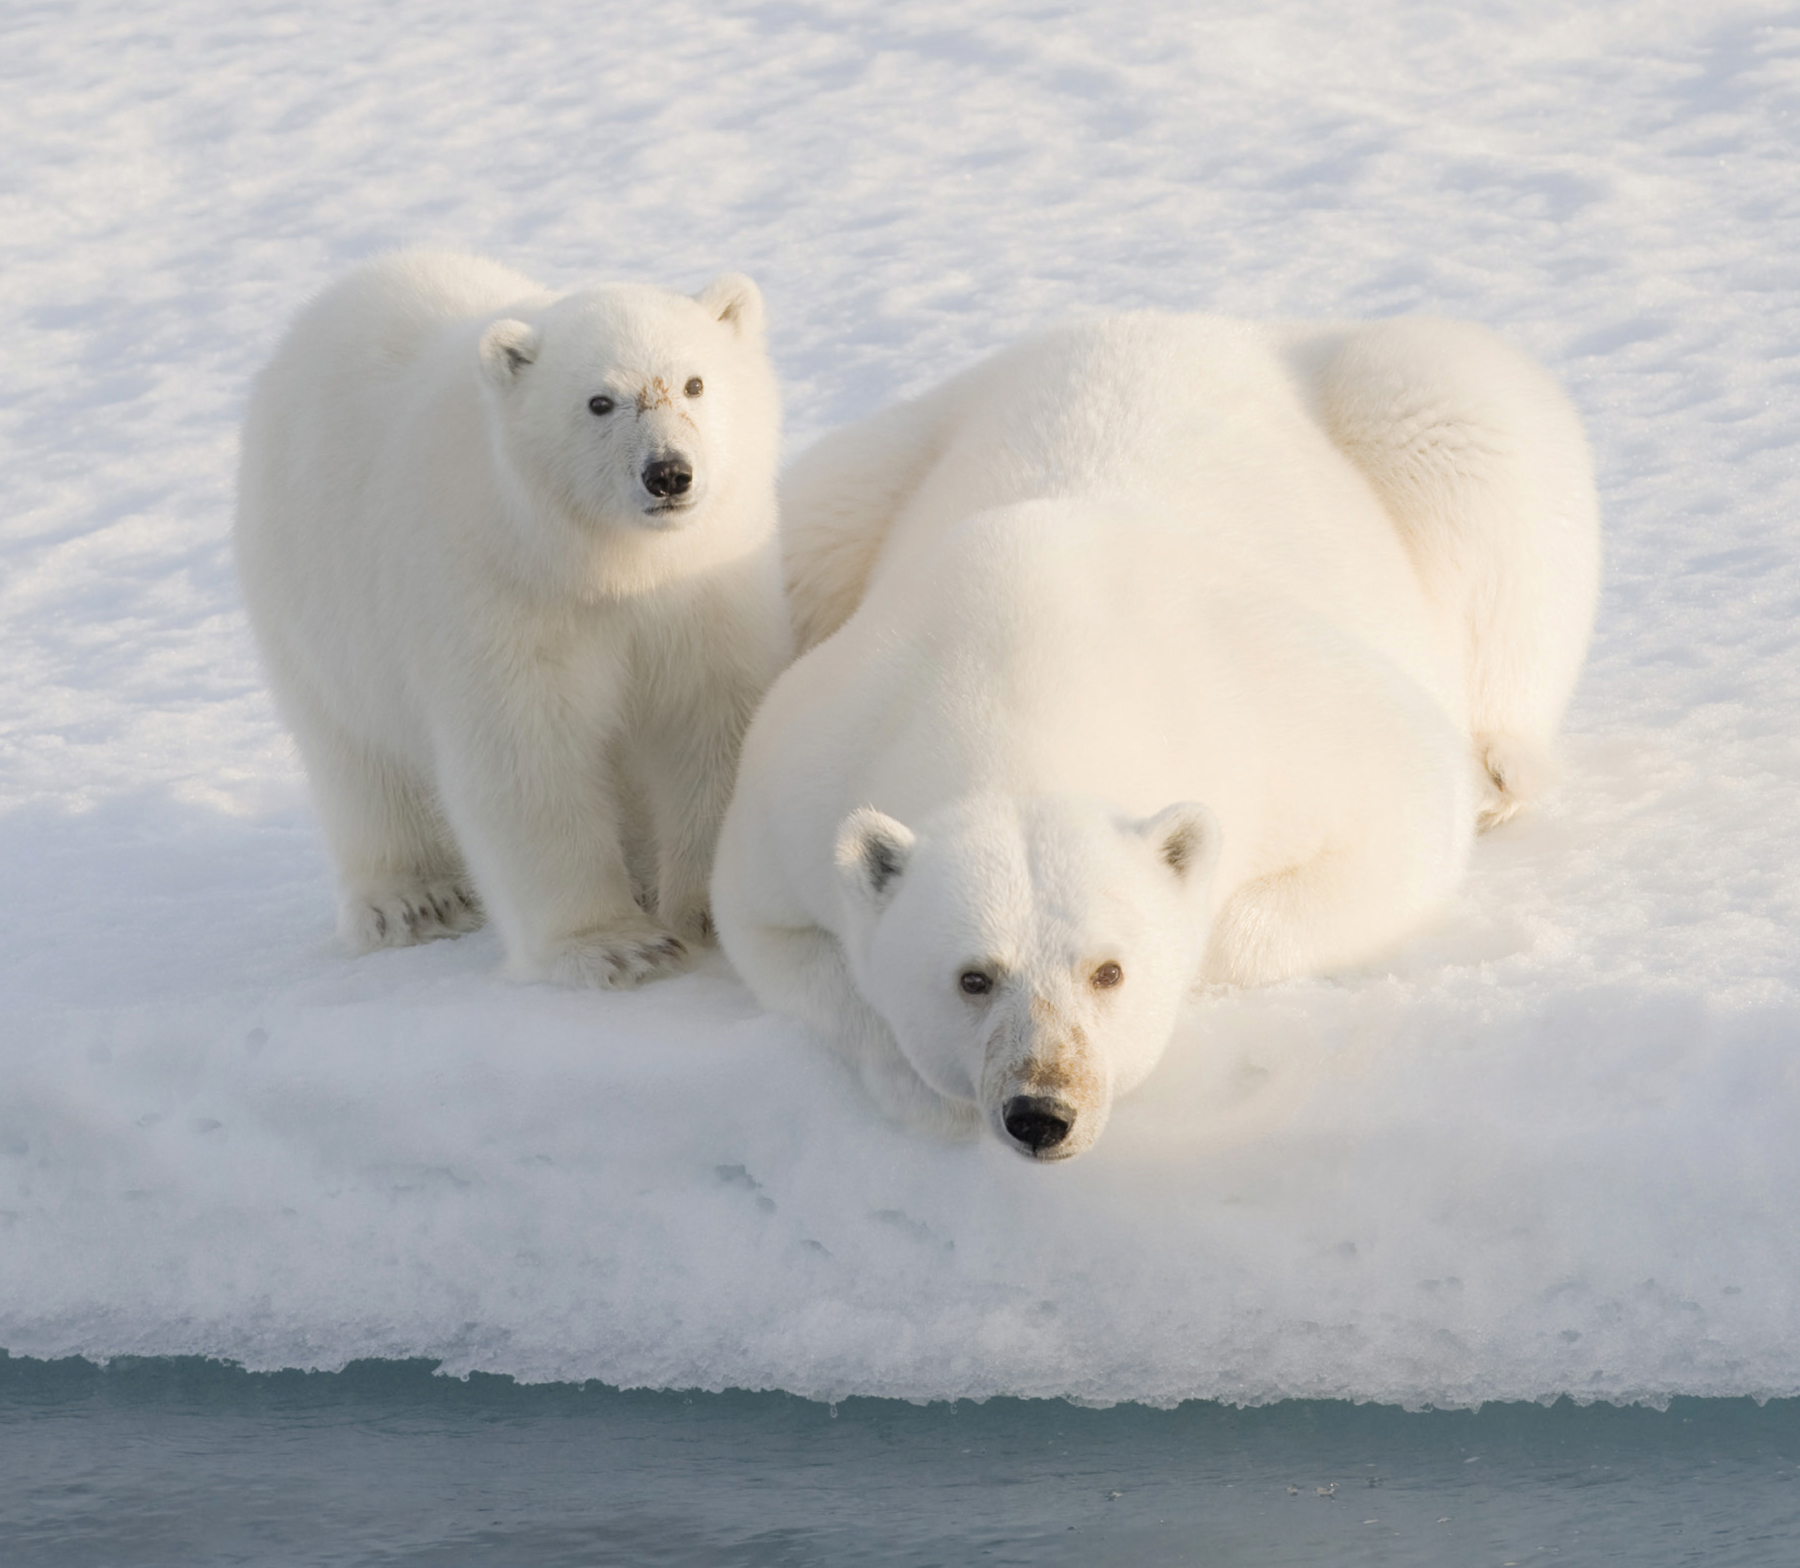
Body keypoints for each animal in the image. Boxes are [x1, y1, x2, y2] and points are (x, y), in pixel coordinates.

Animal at [237, 246, 788, 986]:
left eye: (694, 382)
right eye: (599, 402)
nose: (669, 473)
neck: (605, 566)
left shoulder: (708, 589)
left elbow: (716, 720)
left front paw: (707, 912)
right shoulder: (502, 596)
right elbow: (528, 754)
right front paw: (617, 947)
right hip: (313, 603)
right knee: (357, 757)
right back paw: (413, 901)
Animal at [709, 313, 1598, 1159]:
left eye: (1109, 971)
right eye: (973, 976)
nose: (1042, 1111)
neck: (1027, 673)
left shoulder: (1272, 715)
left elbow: (1399, 813)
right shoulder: (807, 777)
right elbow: (772, 932)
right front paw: (920, 1087)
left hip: (1422, 418)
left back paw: (1501, 772)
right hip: (874, 473)